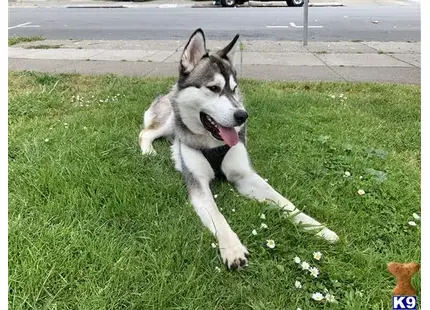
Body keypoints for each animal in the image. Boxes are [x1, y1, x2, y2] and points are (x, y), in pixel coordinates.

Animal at [139, 29, 340, 272]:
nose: (242, 116)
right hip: (169, 120)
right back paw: (148, 151)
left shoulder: (245, 176)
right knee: (146, 132)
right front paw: (233, 249)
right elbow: (218, 216)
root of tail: (169, 92)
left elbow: (284, 202)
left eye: (234, 89)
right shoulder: (198, 184)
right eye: (214, 88)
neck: (213, 144)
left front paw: (317, 227)